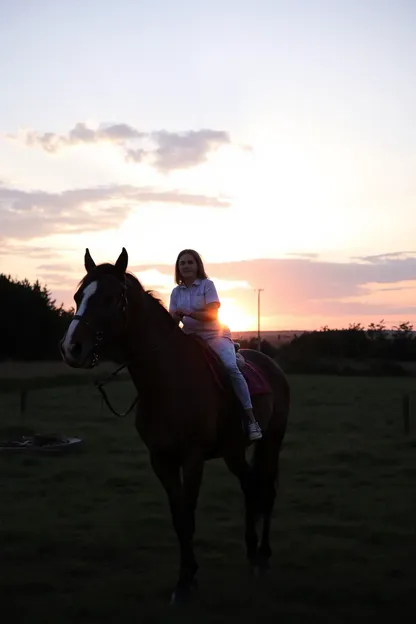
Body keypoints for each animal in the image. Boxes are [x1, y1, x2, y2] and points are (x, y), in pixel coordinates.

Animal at [60, 249, 290, 604]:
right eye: (77, 296)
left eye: (111, 298)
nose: (72, 348)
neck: (169, 380)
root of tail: (272, 366)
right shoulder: (162, 460)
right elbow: (178, 518)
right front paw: (187, 577)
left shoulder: (192, 459)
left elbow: (189, 515)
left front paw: (185, 582)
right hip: (234, 452)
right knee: (251, 486)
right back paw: (252, 552)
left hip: (271, 442)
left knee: (267, 489)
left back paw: (263, 555)